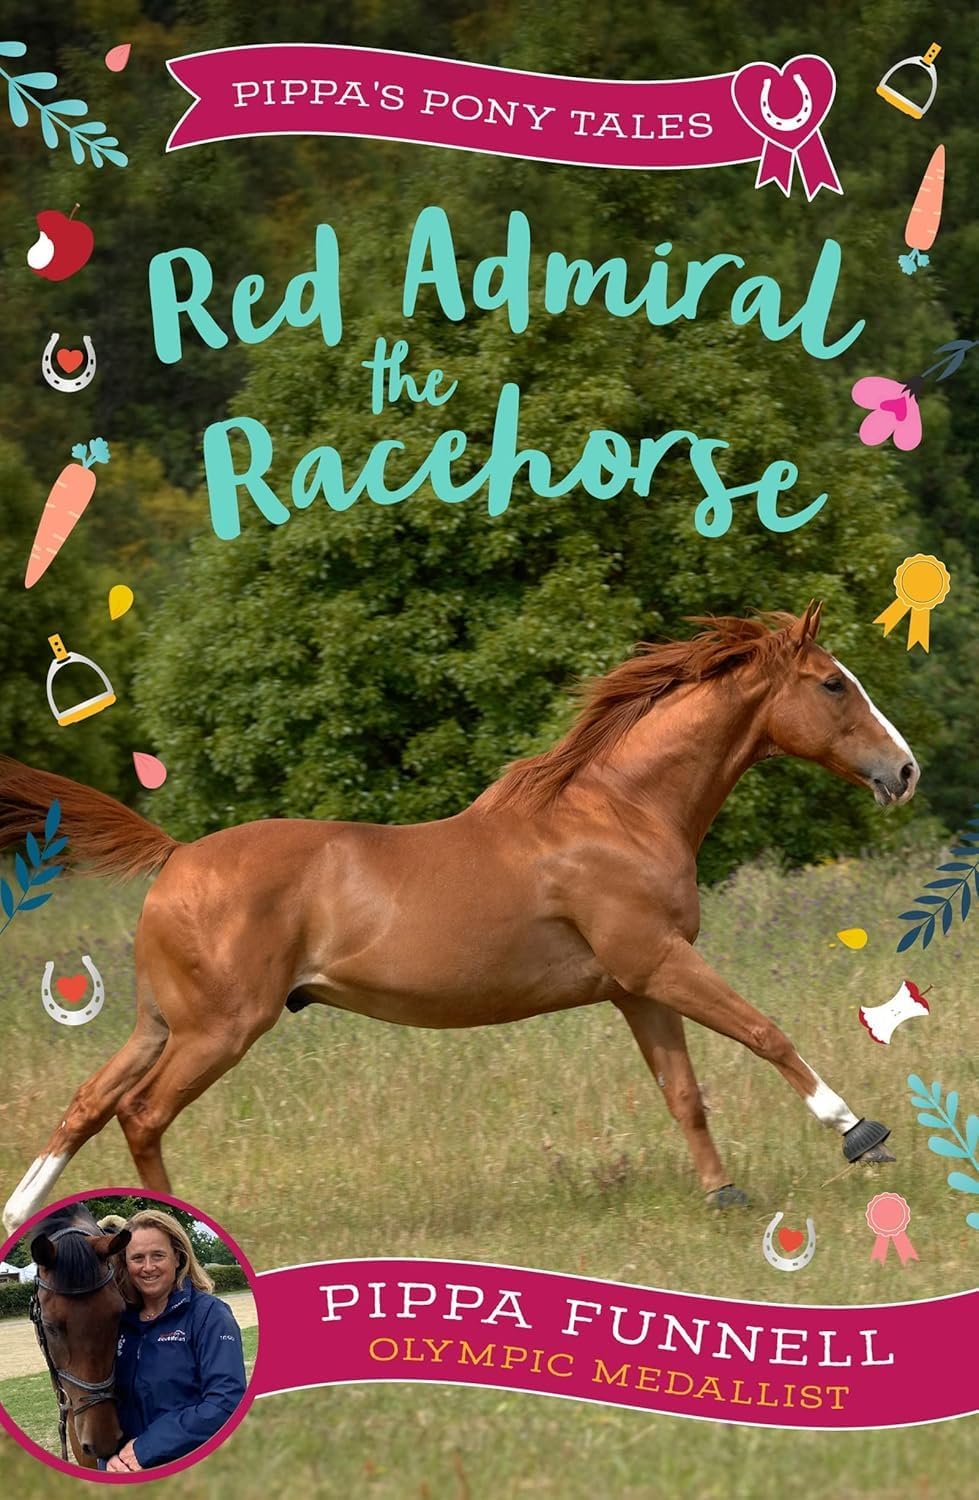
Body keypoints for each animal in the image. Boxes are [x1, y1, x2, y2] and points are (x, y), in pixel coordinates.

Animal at [2, 605, 918, 1232]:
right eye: (832, 683)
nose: (903, 771)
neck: (620, 813)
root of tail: (177, 857)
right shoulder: (658, 962)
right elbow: (767, 1033)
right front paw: (861, 1135)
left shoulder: (636, 987)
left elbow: (684, 1094)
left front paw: (723, 1194)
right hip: (219, 1030)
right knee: (141, 1113)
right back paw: (175, 1230)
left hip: (162, 1023)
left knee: (86, 1105)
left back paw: (21, 1219)